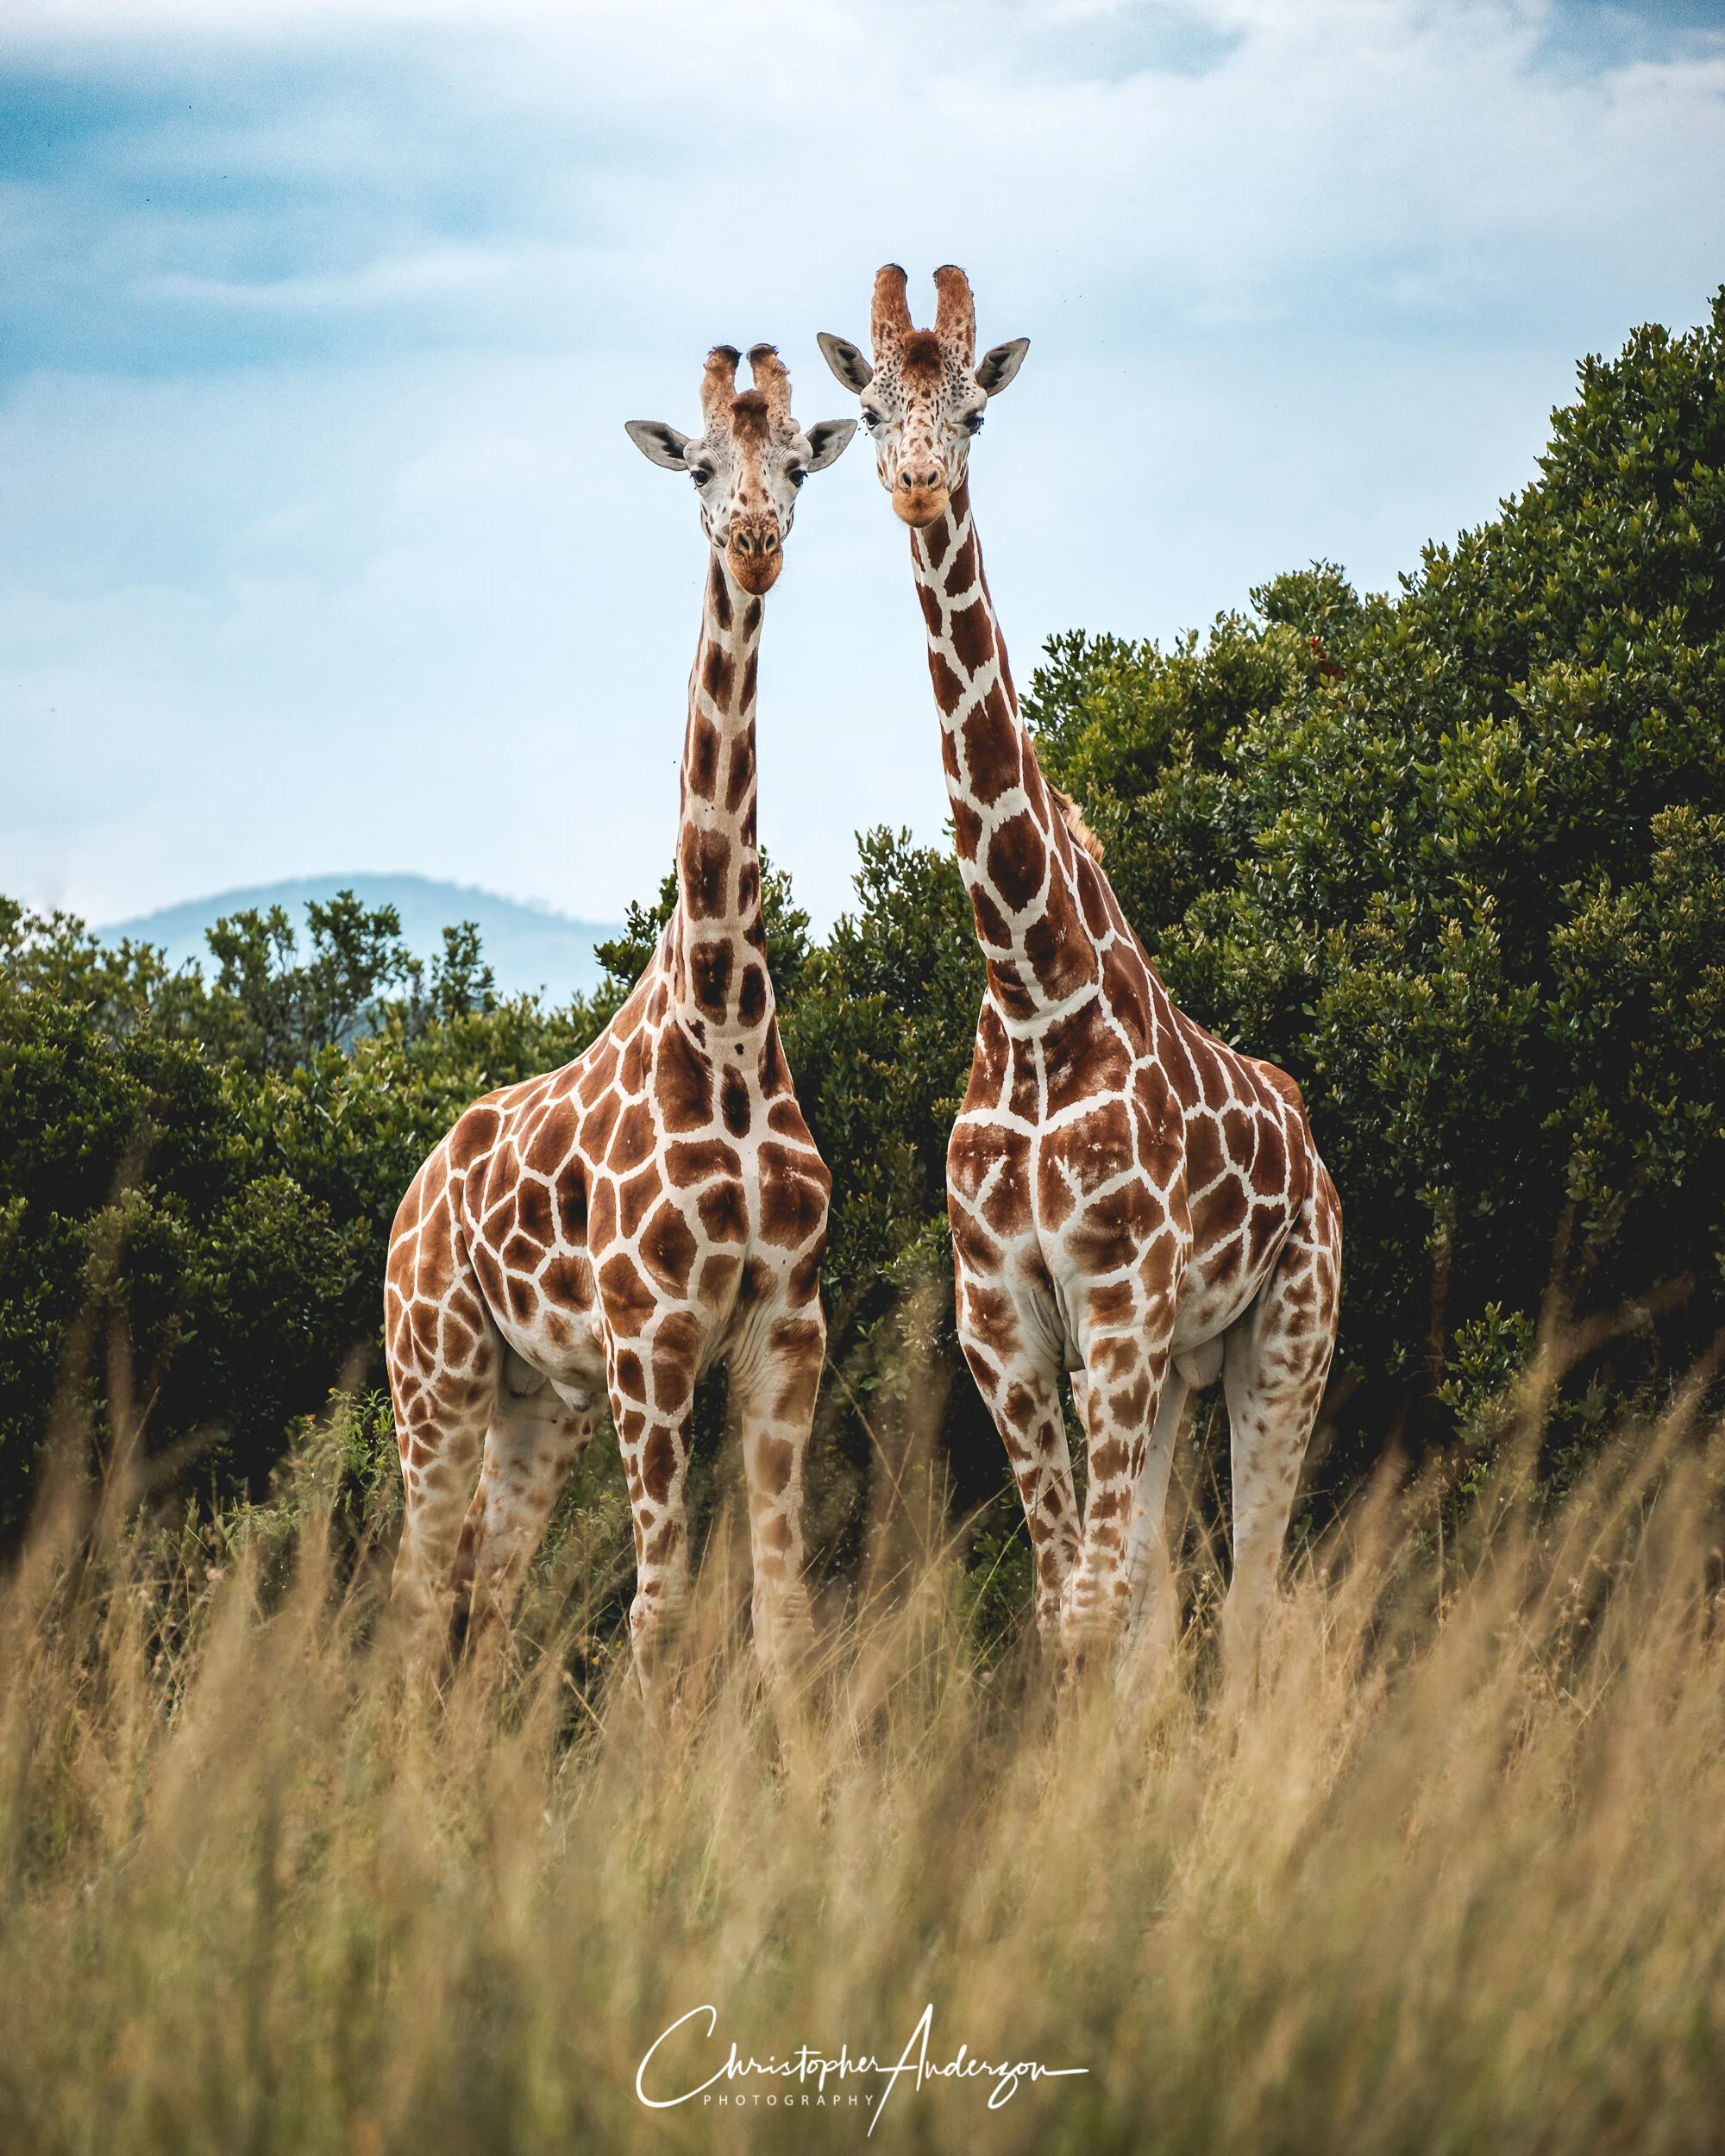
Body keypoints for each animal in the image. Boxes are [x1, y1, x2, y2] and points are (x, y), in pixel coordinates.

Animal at [385, 343, 855, 1692]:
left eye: (799, 462)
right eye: (696, 466)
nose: (753, 542)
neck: (728, 1026)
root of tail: (412, 1194)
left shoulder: (785, 1328)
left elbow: (782, 1613)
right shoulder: (653, 1339)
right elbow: (658, 1608)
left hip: (536, 1397)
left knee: (486, 1596)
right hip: (434, 1369)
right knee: (417, 1591)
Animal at [819, 267, 1342, 1677]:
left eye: (976, 414)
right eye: (872, 408)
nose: (919, 485)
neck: (1033, 992)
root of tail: (1314, 1149)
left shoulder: (1114, 1298)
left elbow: (1097, 1598)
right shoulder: (1001, 1314)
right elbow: (1074, 1602)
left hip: (1288, 1335)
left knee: (1257, 1590)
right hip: (1173, 1366)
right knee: (1162, 1588)